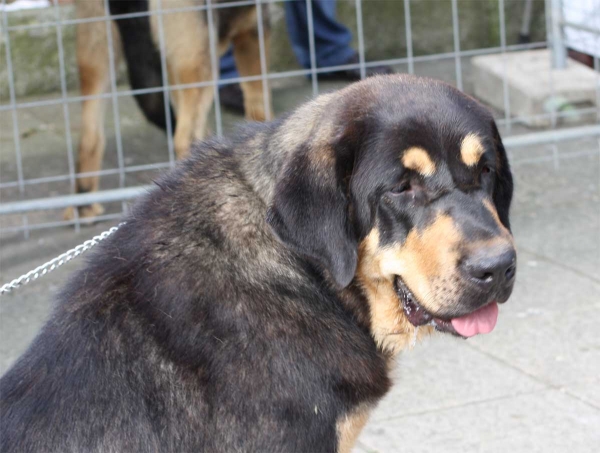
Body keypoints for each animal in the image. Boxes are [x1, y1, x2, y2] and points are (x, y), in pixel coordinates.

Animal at [68, 0, 272, 219]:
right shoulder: (253, 35)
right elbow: (260, 108)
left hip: (97, 55)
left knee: (90, 138)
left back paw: (84, 204)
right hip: (199, 61)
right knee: (185, 138)